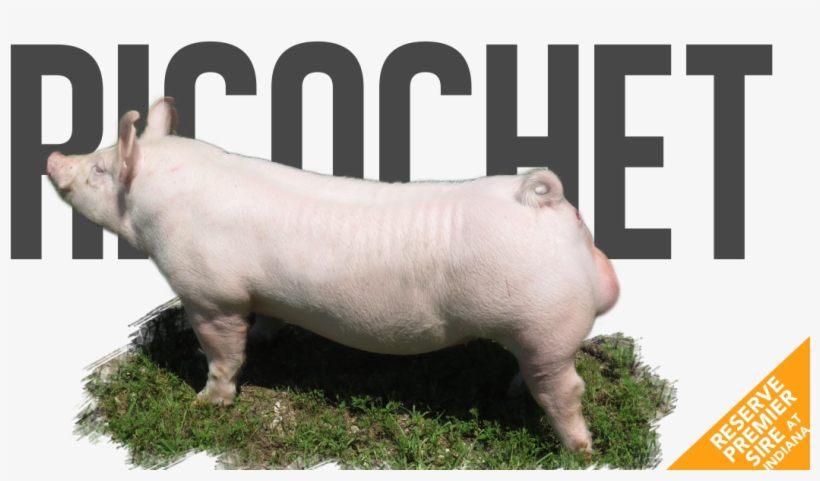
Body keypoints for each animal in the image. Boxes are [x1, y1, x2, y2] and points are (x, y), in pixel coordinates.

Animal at [47, 97, 619, 455]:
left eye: (100, 170)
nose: (53, 156)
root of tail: (548, 204)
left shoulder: (210, 294)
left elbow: (223, 352)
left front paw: (205, 402)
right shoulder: (258, 295)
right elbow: (266, 323)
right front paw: (265, 340)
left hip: (544, 326)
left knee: (567, 390)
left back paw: (580, 452)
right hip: (535, 333)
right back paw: (514, 394)